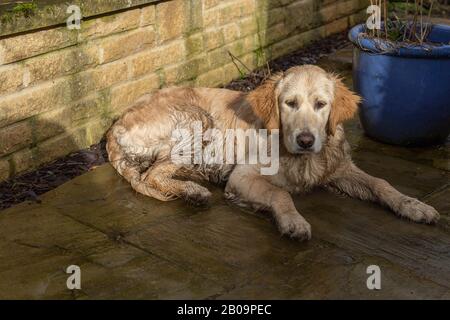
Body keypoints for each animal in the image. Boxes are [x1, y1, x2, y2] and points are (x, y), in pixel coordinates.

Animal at [106, 65, 440, 240]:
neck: (299, 157)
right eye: (289, 103)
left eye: (321, 104)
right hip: (195, 118)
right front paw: (293, 222)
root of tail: (114, 126)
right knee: (152, 175)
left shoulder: (338, 167)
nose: (305, 140)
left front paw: (414, 206)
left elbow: (381, 183)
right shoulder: (242, 176)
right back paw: (193, 191)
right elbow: (280, 194)